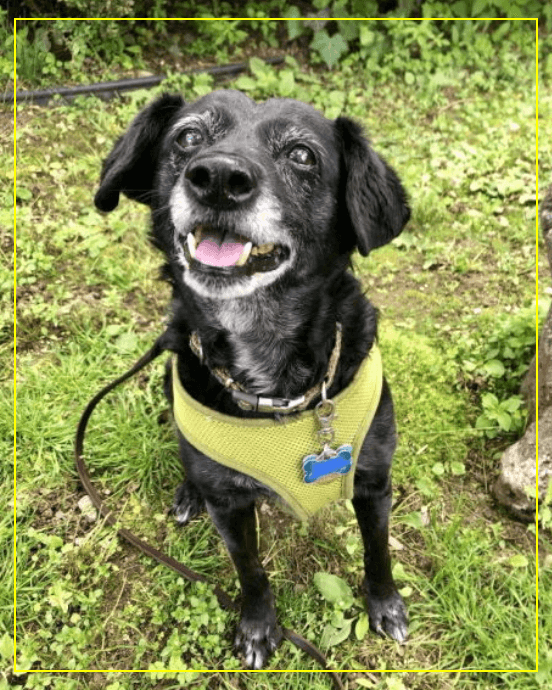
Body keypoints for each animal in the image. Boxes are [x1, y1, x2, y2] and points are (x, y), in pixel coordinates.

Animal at [95, 88, 410, 664]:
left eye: (302, 155)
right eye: (189, 136)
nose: (218, 177)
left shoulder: (374, 482)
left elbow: (377, 552)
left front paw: (385, 604)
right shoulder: (231, 508)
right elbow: (251, 571)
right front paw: (259, 626)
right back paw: (187, 493)